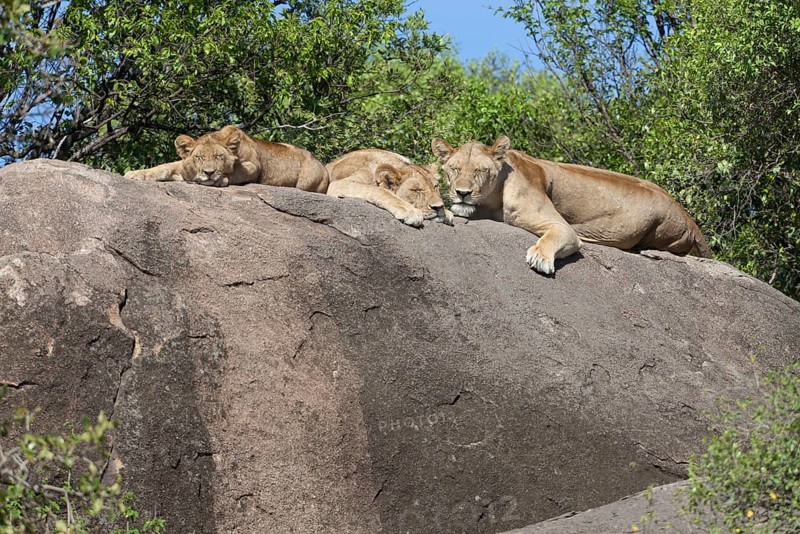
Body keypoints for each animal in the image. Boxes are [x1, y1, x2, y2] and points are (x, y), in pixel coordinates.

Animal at [124, 125, 328, 193]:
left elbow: (236, 171)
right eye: (199, 157)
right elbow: (163, 167)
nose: (208, 173)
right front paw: (136, 174)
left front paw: (219, 179)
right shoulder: (184, 168)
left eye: (218, 157)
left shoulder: (253, 167)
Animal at [431, 136, 711, 274]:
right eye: (454, 169)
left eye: (480, 171)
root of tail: (688, 217)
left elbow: (554, 236)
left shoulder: (562, 227)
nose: (463, 193)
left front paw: (540, 258)